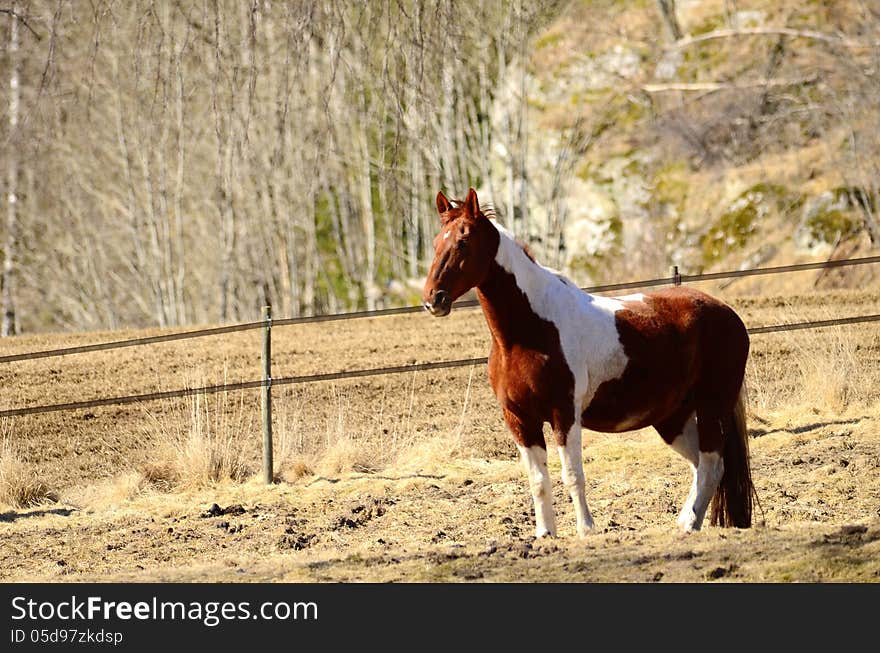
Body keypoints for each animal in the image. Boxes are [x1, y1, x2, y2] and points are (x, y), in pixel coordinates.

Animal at [422, 187, 752, 536]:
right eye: (436, 243)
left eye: (463, 242)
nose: (433, 299)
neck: (528, 331)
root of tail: (727, 312)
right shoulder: (519, 419)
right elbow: (538, 481)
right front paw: (545, 534)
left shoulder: (564, 415)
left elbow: (572, 476)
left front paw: (586, 530)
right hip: (672, 418)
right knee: (701, 465)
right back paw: (686, 520)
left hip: (713, 405)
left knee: (712, 464)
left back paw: (689, 524)